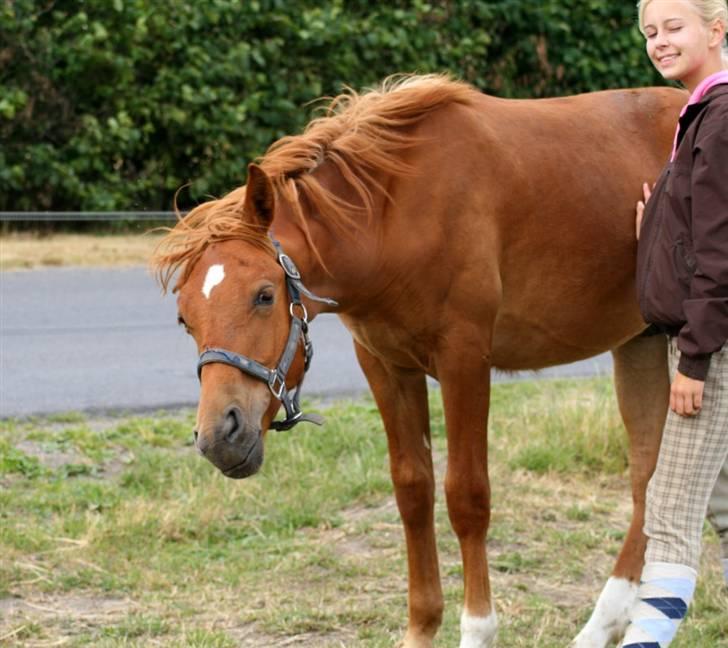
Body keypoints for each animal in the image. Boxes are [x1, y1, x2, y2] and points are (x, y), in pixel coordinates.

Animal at [151, 77, 684, 648]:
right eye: (185, 318)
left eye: (265, 296)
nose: (219, 436)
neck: (392, 215)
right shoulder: (386, 366)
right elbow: (412, 492)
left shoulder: (464, 361)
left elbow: (467, 498)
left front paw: (477, 630)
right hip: (640, 343)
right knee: (647, 478)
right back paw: (603, 624)